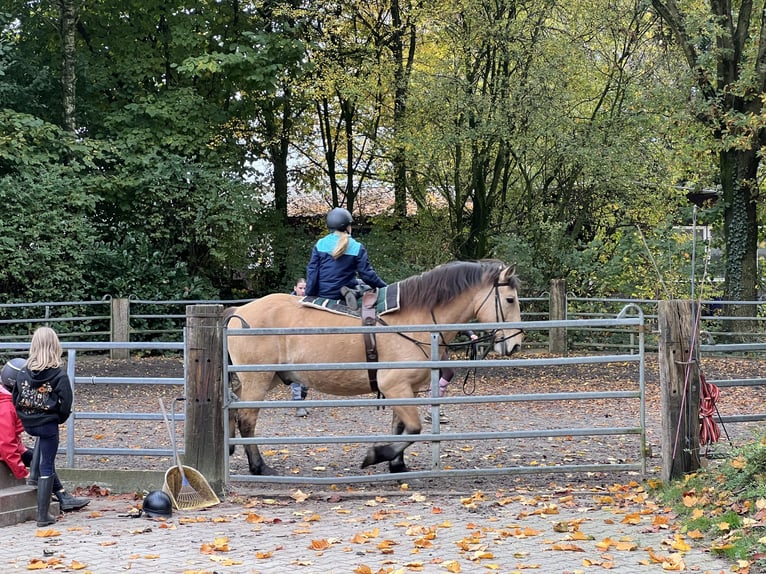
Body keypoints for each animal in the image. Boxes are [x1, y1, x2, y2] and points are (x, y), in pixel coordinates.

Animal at [222, 260, 520, 476]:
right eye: (510, 300)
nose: (515, 344)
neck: (414, 318)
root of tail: (239, 311)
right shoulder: (394, 386)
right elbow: (413, 428)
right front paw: (376, 456)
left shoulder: (405, 389)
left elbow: (399, 426)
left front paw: (397, 465)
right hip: (258, 379)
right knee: (247, 419)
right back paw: (259, 467)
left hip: (264, 378)